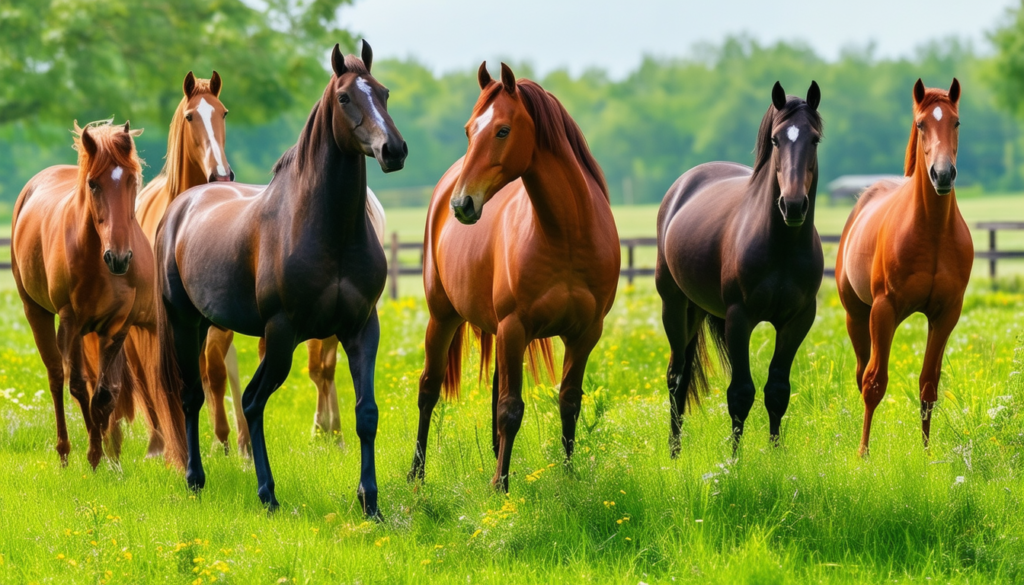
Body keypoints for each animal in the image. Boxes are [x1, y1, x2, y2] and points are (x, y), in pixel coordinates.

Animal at [11, 120, 187, 470]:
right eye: (93, 184)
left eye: (133, 180)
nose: (118, 258)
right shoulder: (71, 323)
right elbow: (79, 386)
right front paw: (93, 454)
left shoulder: (117, 327)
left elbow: (105, 393)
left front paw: (108, 458)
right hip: (37, 312)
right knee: (56, 377)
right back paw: (64, 452)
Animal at [155, 42, 406, 516]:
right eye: (344, 97)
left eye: (383, 92)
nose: (394, 150)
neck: (326, 231)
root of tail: (184, 202)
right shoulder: (283, 331)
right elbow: (253, 402)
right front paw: (267, 493)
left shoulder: (362, 328)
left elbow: (367, 414)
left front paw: (370, 502)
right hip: (184, 323)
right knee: (194, 395)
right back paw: (198, 480)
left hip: (210, 326)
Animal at [408, 63, 620, 492]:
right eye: (469, 130)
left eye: (502, 130)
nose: (462, 204)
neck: (566, 234)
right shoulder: (514, 327)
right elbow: (510, 409)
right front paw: (500, 487)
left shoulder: (586, 334)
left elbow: (569, 402)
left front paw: (568, 477)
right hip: (444, 317)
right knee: (429, 389)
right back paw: (417, 475)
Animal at [656, 81, 824, 453]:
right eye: (776, 140)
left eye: (815, 139)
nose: (793, 205)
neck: (780, 245)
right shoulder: (739, 318)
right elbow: (741, 393)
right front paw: (734, 461)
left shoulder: (798, 321)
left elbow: (777, 390)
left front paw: (776, 456)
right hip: (674, 305)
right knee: (676, 376)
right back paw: (674, 452)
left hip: (696, 309)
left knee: (684, 375)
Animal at [836, 79, 971, 457]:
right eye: (922, 124)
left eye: (956, 122)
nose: (943, 174)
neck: (933, 231)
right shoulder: (884, 310)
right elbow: (874, 383)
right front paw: (863, 454)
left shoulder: (946, 314)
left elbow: (928, 386)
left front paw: (926, 454)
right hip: (858, 316)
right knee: (862, 373)